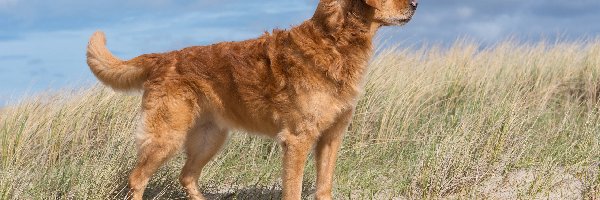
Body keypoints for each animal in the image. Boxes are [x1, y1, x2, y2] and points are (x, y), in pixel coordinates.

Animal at [86, 0, 418, 199]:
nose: (416, 4)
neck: (334, 42)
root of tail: (161, 57)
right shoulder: (297, 140)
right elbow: (293, 190)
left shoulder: (331, 137)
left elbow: (324, 188)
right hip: (166, 137)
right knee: (137, 178)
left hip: (210, 138)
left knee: (186, 176)